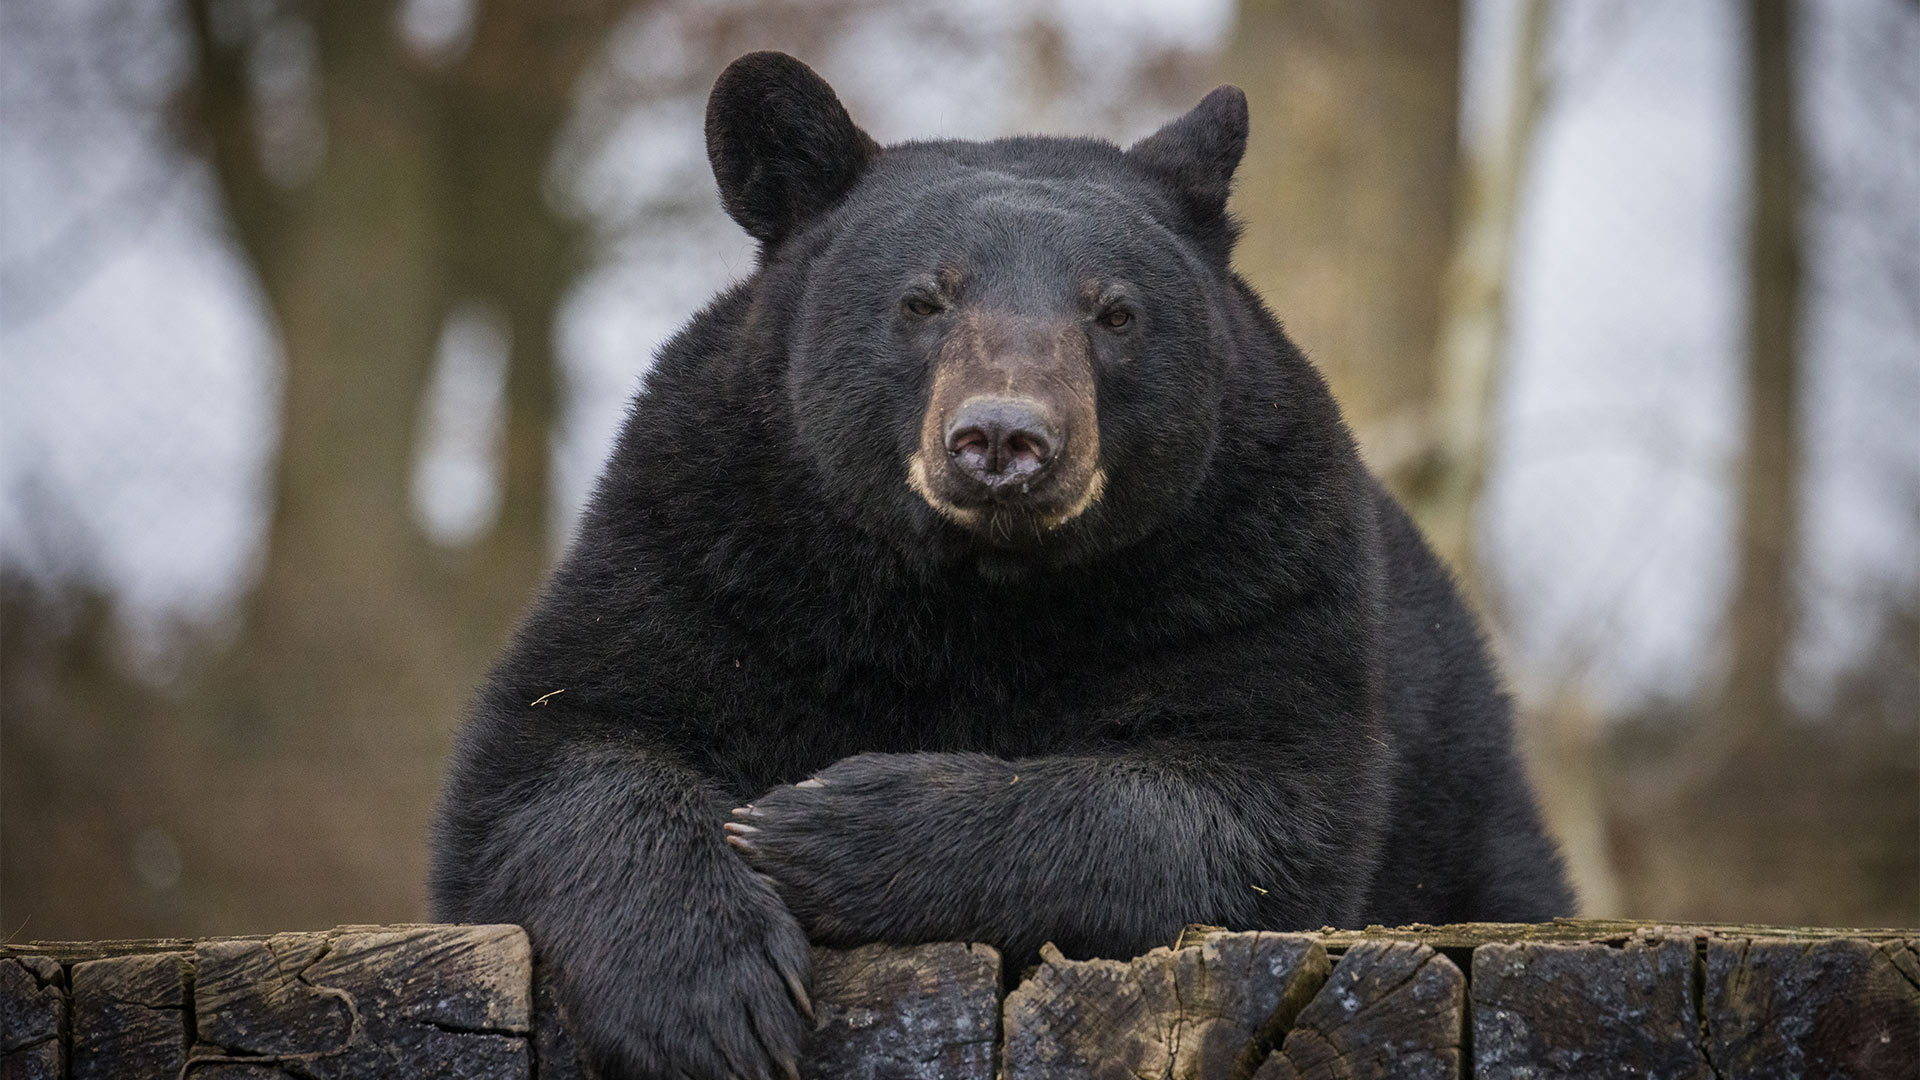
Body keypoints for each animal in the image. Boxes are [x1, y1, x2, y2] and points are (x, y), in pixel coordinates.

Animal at [430, 51, 1573, 1080]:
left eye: (1114, 312)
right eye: (925, 300)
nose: (1005, 438)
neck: (979, 589)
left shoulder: (1262, 572)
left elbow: (1246, 809)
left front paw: (820, 827)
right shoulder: (698, 542)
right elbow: (564, 743)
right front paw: (711, 1003)